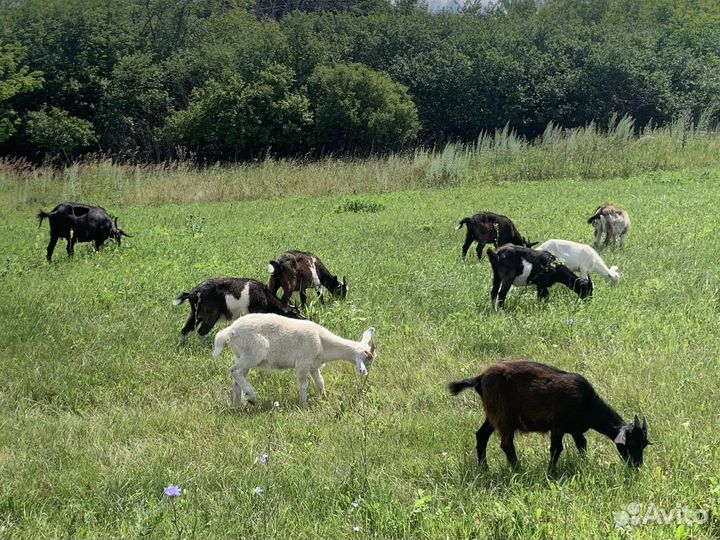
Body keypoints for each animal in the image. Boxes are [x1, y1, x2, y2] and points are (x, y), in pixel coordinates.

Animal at [174, 277, 305, 345]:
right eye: (295, 313)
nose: (305, 319)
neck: (265, 296)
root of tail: (194, 293)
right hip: (210, 315)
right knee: (202, 331)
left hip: (196, 313)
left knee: (185, 329)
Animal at [212, 313, 376, 407]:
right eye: (368, 360)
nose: (367, 376)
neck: (323, 342)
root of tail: (230, 331)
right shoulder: (303, 363)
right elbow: (304, 384)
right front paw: (303, 405)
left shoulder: (314, 366)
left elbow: (320, 382)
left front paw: (324, 398)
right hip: (254, 351)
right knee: (234, 370)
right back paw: (251, 396)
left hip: (242, 354)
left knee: (237, 377)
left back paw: (237, 405)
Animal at [449, 360, 650, 469]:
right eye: (631, 444)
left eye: (644, 444)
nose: (637, 466)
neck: (587, 404)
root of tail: (479, 378)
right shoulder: (558, 426)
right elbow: (556, 449)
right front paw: (550, 472)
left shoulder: (575, 429)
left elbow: (582, 445)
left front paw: (584, 463)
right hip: (503, 415)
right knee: (506, 444)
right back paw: (518, 468)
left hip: (493, 414)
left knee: (481, 435)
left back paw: (484, 468)